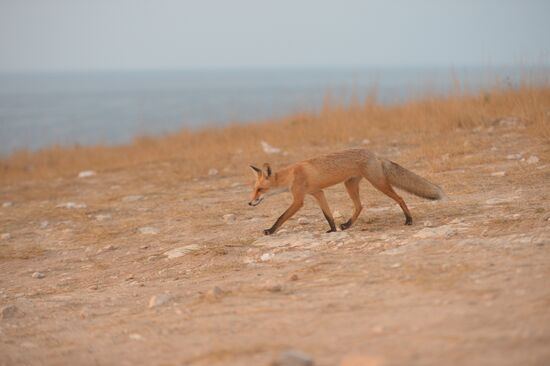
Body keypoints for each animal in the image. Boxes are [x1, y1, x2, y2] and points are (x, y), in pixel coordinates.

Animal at [250, 148, 448, 236]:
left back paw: (409, 219)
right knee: (360, 206)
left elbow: (281, 217)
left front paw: (270, 230)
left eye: (260, 189)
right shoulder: (318, 193)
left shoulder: (299, 200)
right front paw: (333, 229)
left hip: (377, 183)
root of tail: (375, 154)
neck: (291, 175)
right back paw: (347, 225)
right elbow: (328, 215)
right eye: (254, 190)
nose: (250, 203)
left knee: (399, 198)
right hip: (350, 185)